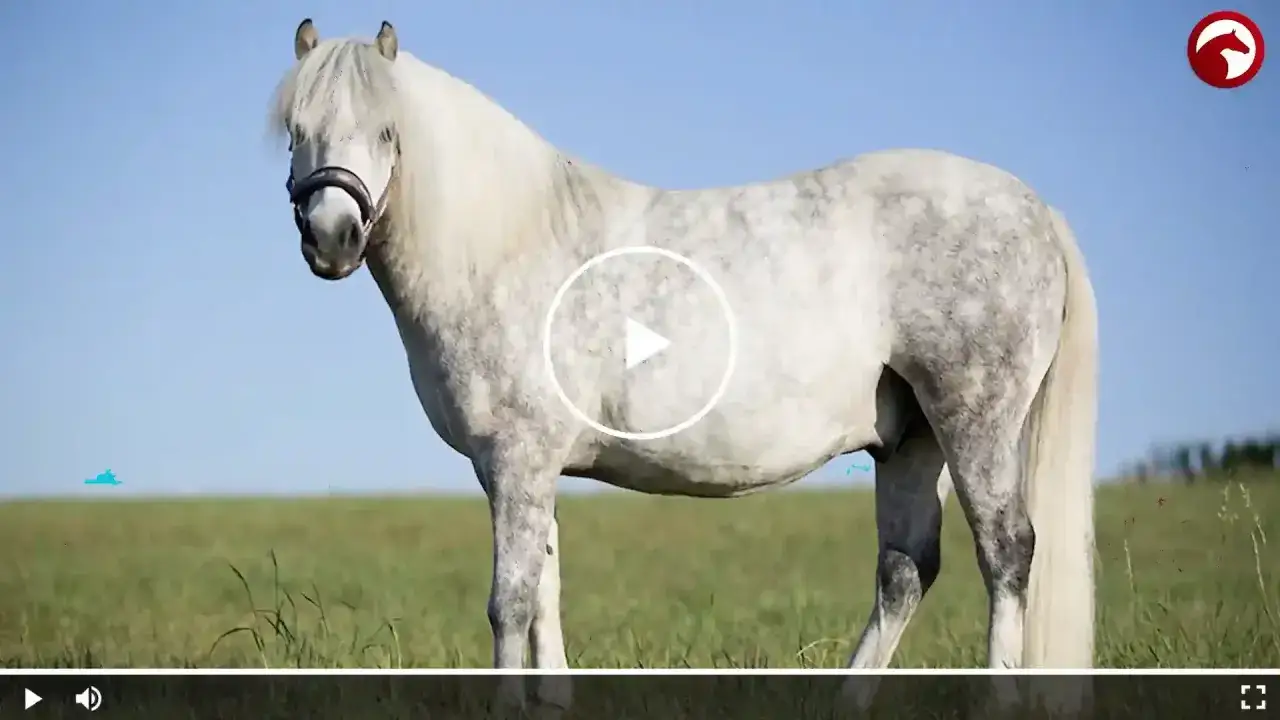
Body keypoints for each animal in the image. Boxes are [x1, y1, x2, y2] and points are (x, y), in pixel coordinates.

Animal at [271, 18, 1098, 714]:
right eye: (295, 133)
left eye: (387, 131)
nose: (331, 237)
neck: (507, 241)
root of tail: (1034, 208)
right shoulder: (524, 468)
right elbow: (545, 589)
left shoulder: (517, 459)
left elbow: (510, 601)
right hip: (911, 439)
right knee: (904, 571)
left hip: (975, 421)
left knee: (1006, 552)